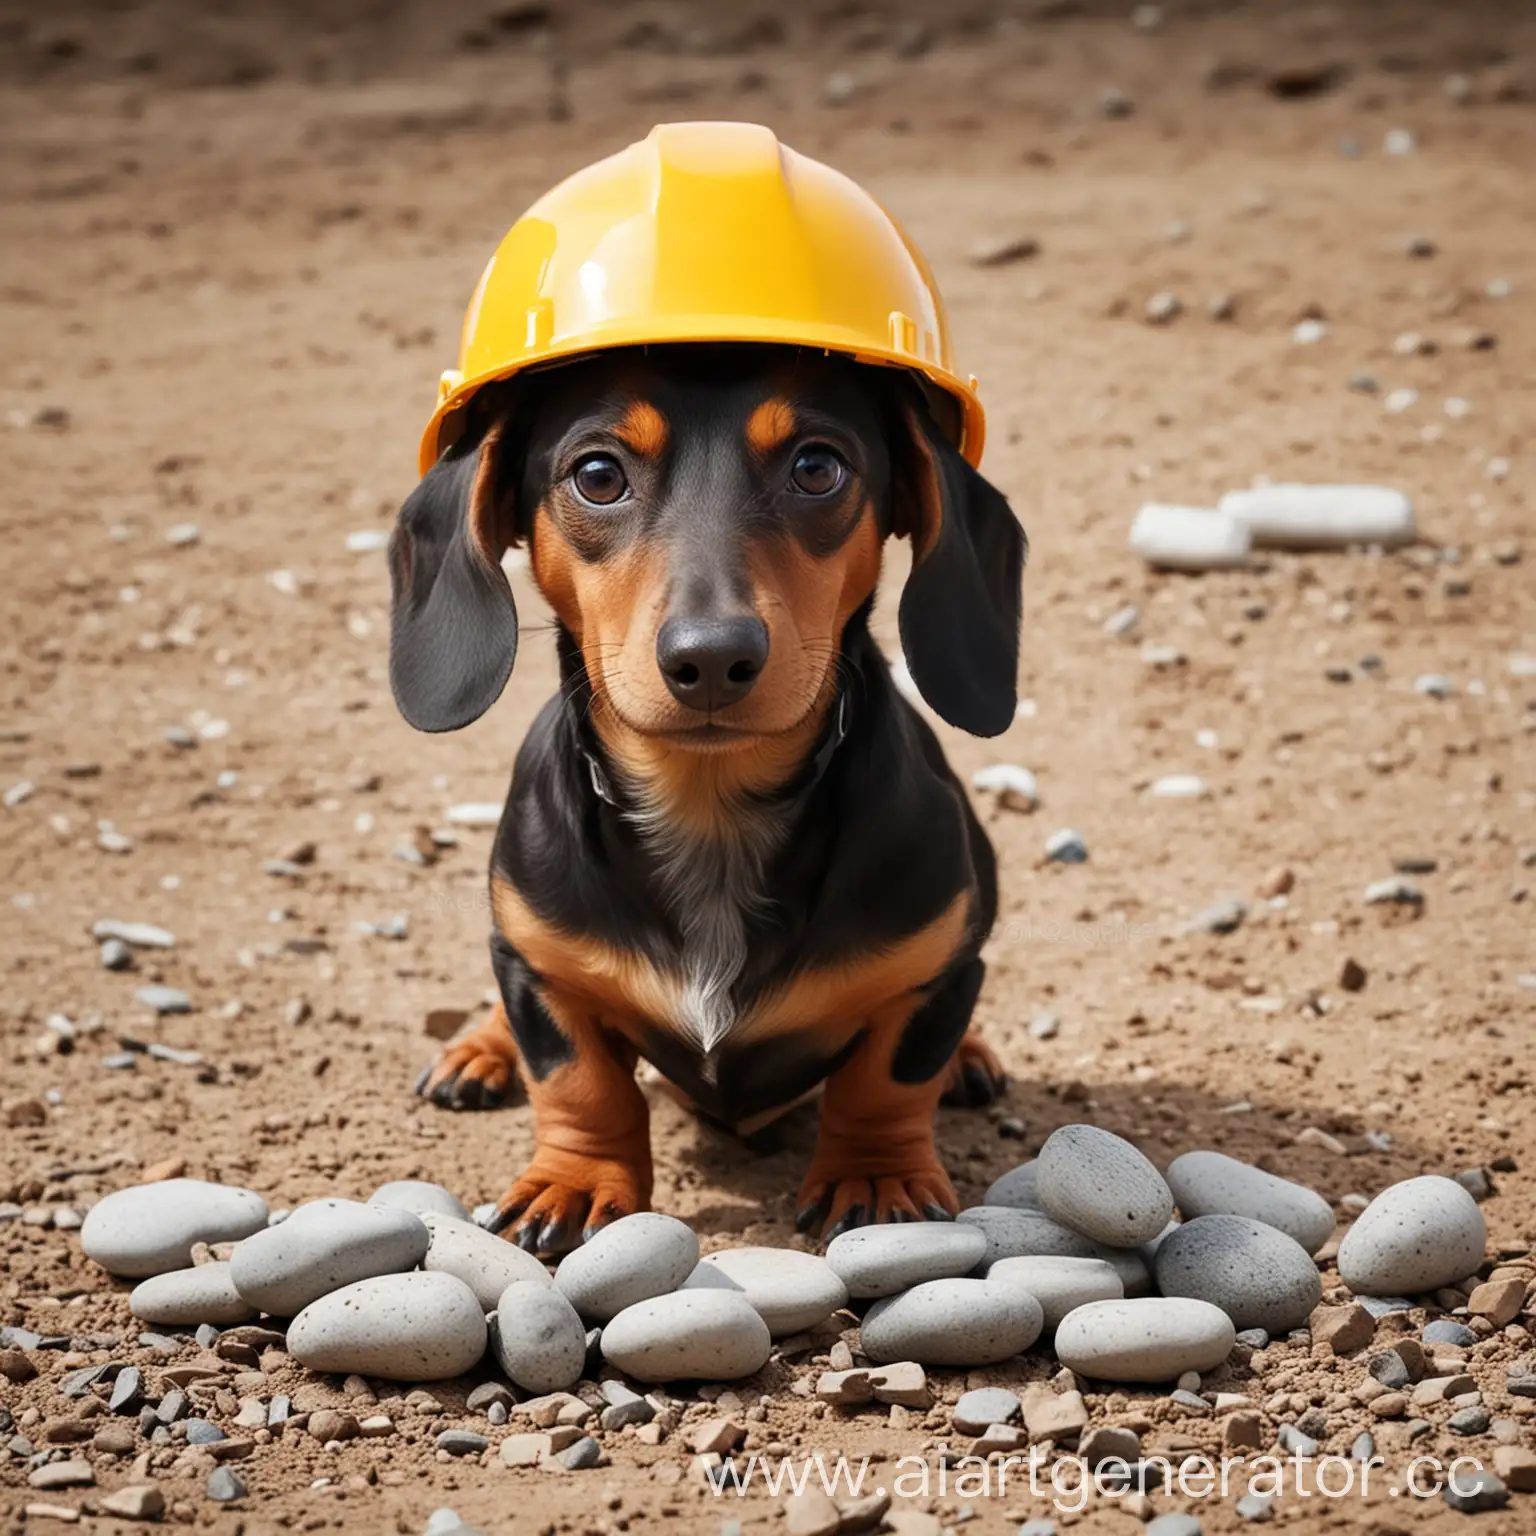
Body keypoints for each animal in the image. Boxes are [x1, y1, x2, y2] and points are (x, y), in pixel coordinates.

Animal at [390, 342, 1026, 1253]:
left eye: (818, 467)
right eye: (597, 475)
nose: (713, 657)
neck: (710, 808)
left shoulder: (935, 971)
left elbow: (886, 1080)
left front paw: (876, 1176)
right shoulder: (534, 965)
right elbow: (580, 1082)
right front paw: (575, 1181)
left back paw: (968, 1056)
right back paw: (478, 1048)